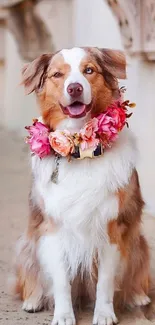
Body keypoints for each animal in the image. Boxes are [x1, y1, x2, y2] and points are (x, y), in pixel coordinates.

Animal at [11, 46, 151, 322]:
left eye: (89, 70)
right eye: (57, 74)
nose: (74, 88)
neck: (79, 149)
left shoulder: (111, 228)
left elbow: (106, 281)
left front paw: (104, 314)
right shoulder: (53, 229)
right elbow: (61, 281)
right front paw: (64, 316)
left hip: (138, 242)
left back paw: (137, 295)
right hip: (28, 243)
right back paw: (33, 299)